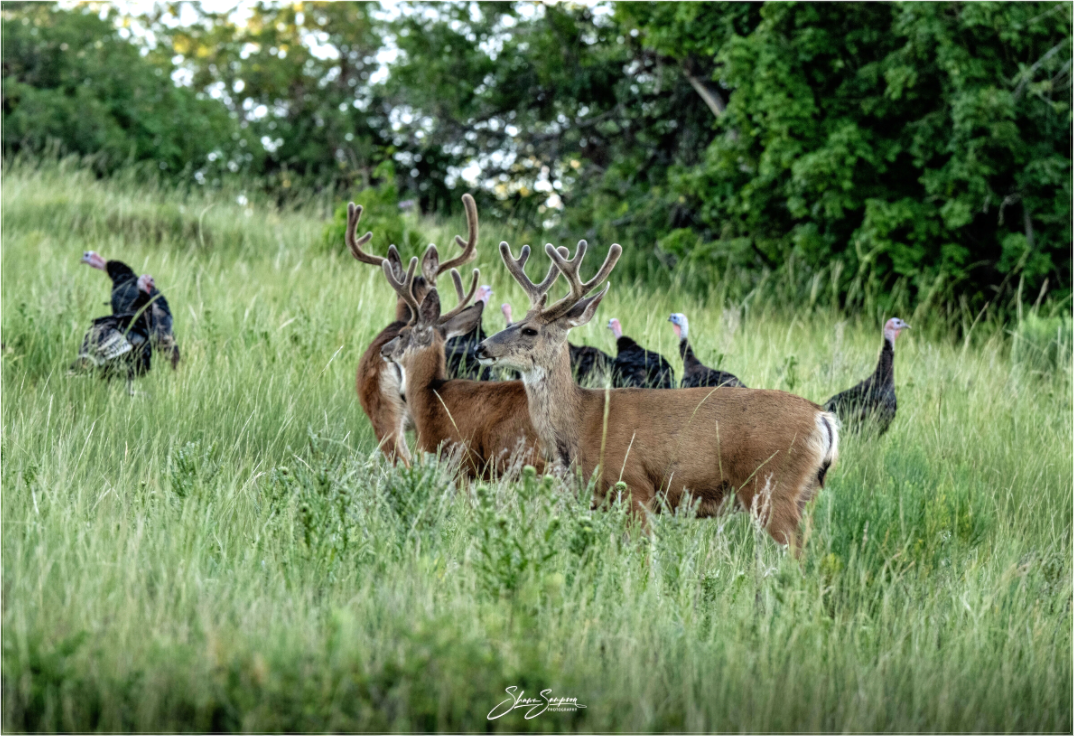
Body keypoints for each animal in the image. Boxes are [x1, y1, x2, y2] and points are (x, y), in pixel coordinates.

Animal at [474, 240, 840, 552]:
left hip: (772, 486)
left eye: (529, 330)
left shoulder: (634, 486)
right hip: (803, 492)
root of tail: (822, 418)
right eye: (516, 321)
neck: (583, 421)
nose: (481, 347)